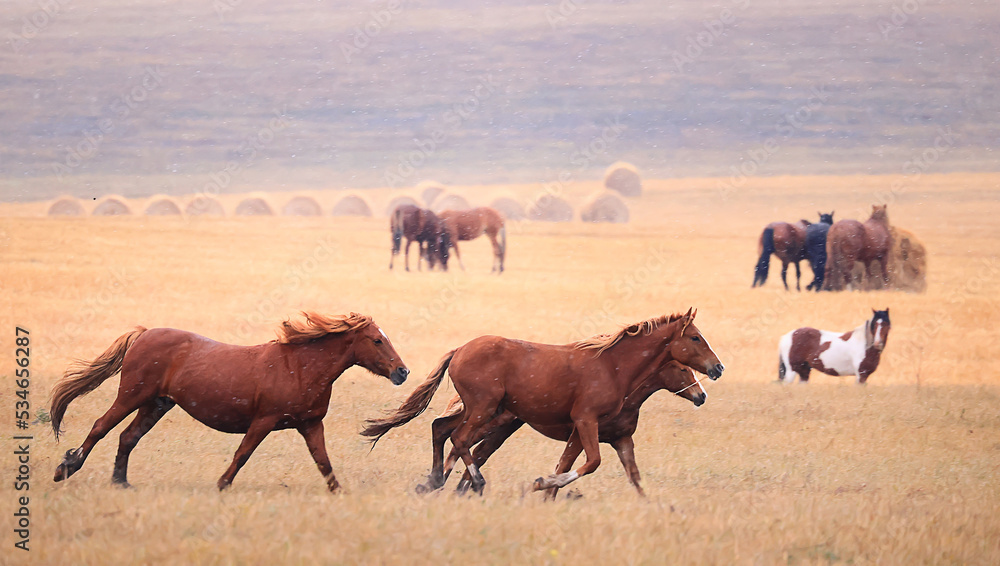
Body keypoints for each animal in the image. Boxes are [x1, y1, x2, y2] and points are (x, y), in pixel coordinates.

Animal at [50, 312, 409, 491]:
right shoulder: (264, 421)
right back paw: (65, 468)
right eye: (377, 340)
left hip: (156, 404)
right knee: (101, 427)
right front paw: (222, 484)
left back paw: (121, 482)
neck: (301, 367)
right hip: (132, 396)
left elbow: (323, 462)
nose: (402, 371)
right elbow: (243, 453)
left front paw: (338, 492)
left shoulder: (310, 424)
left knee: (128, 437)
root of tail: (145, 333)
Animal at [420, 360, 706, 498]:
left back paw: (449, 488)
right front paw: (542, 491)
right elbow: (566, 468)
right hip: (490, 420)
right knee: (456, 439)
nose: (701, 396)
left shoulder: (621, 439)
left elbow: (635, 478)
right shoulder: (582, 434)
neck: (625, 393)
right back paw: (442, 485)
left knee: (470, 447)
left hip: (499, 427)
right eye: (683, 369)